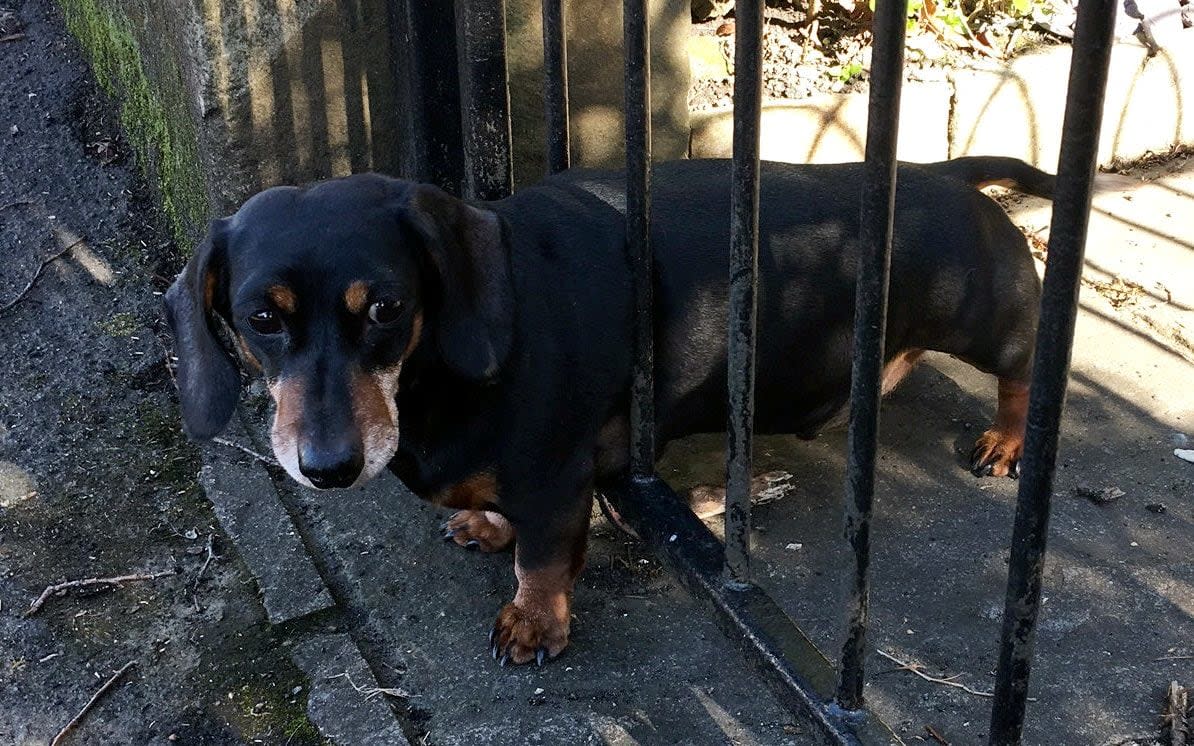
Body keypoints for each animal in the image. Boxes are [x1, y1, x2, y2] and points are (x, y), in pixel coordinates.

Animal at [165, 155, 1055, 663]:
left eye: (385, 307)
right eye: (260, 318)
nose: (329, 467)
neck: (435, 379)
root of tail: (944, 176)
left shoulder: (556, 474)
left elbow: (543, 559)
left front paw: (533, 623)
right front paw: (485, 524)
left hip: (990, 321)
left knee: (1026, 370)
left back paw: (1008, 440)